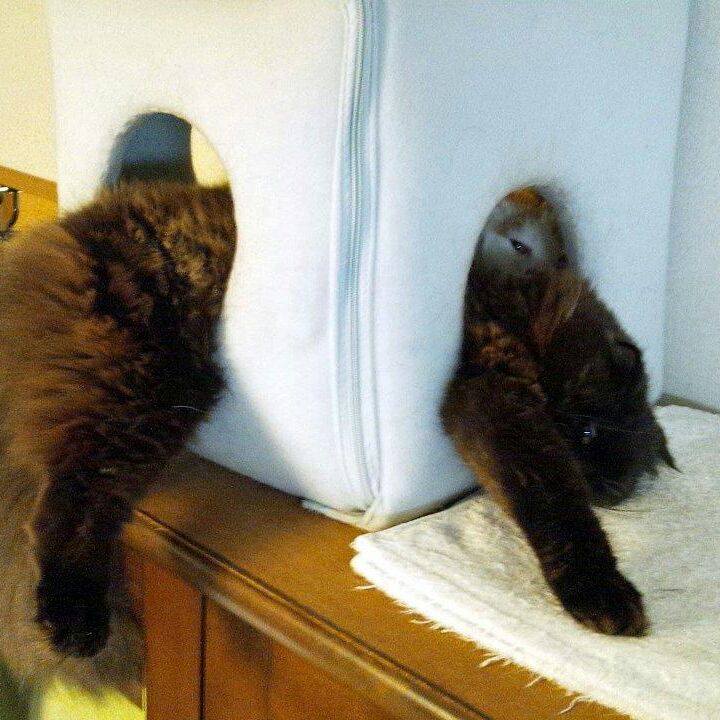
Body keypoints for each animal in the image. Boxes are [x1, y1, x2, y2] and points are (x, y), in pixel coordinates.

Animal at [441, 260, 674, 635]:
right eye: (588, 431)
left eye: (604, 490)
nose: (580, 470)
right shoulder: (502, 402)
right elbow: (560, 511)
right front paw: (601, 591)